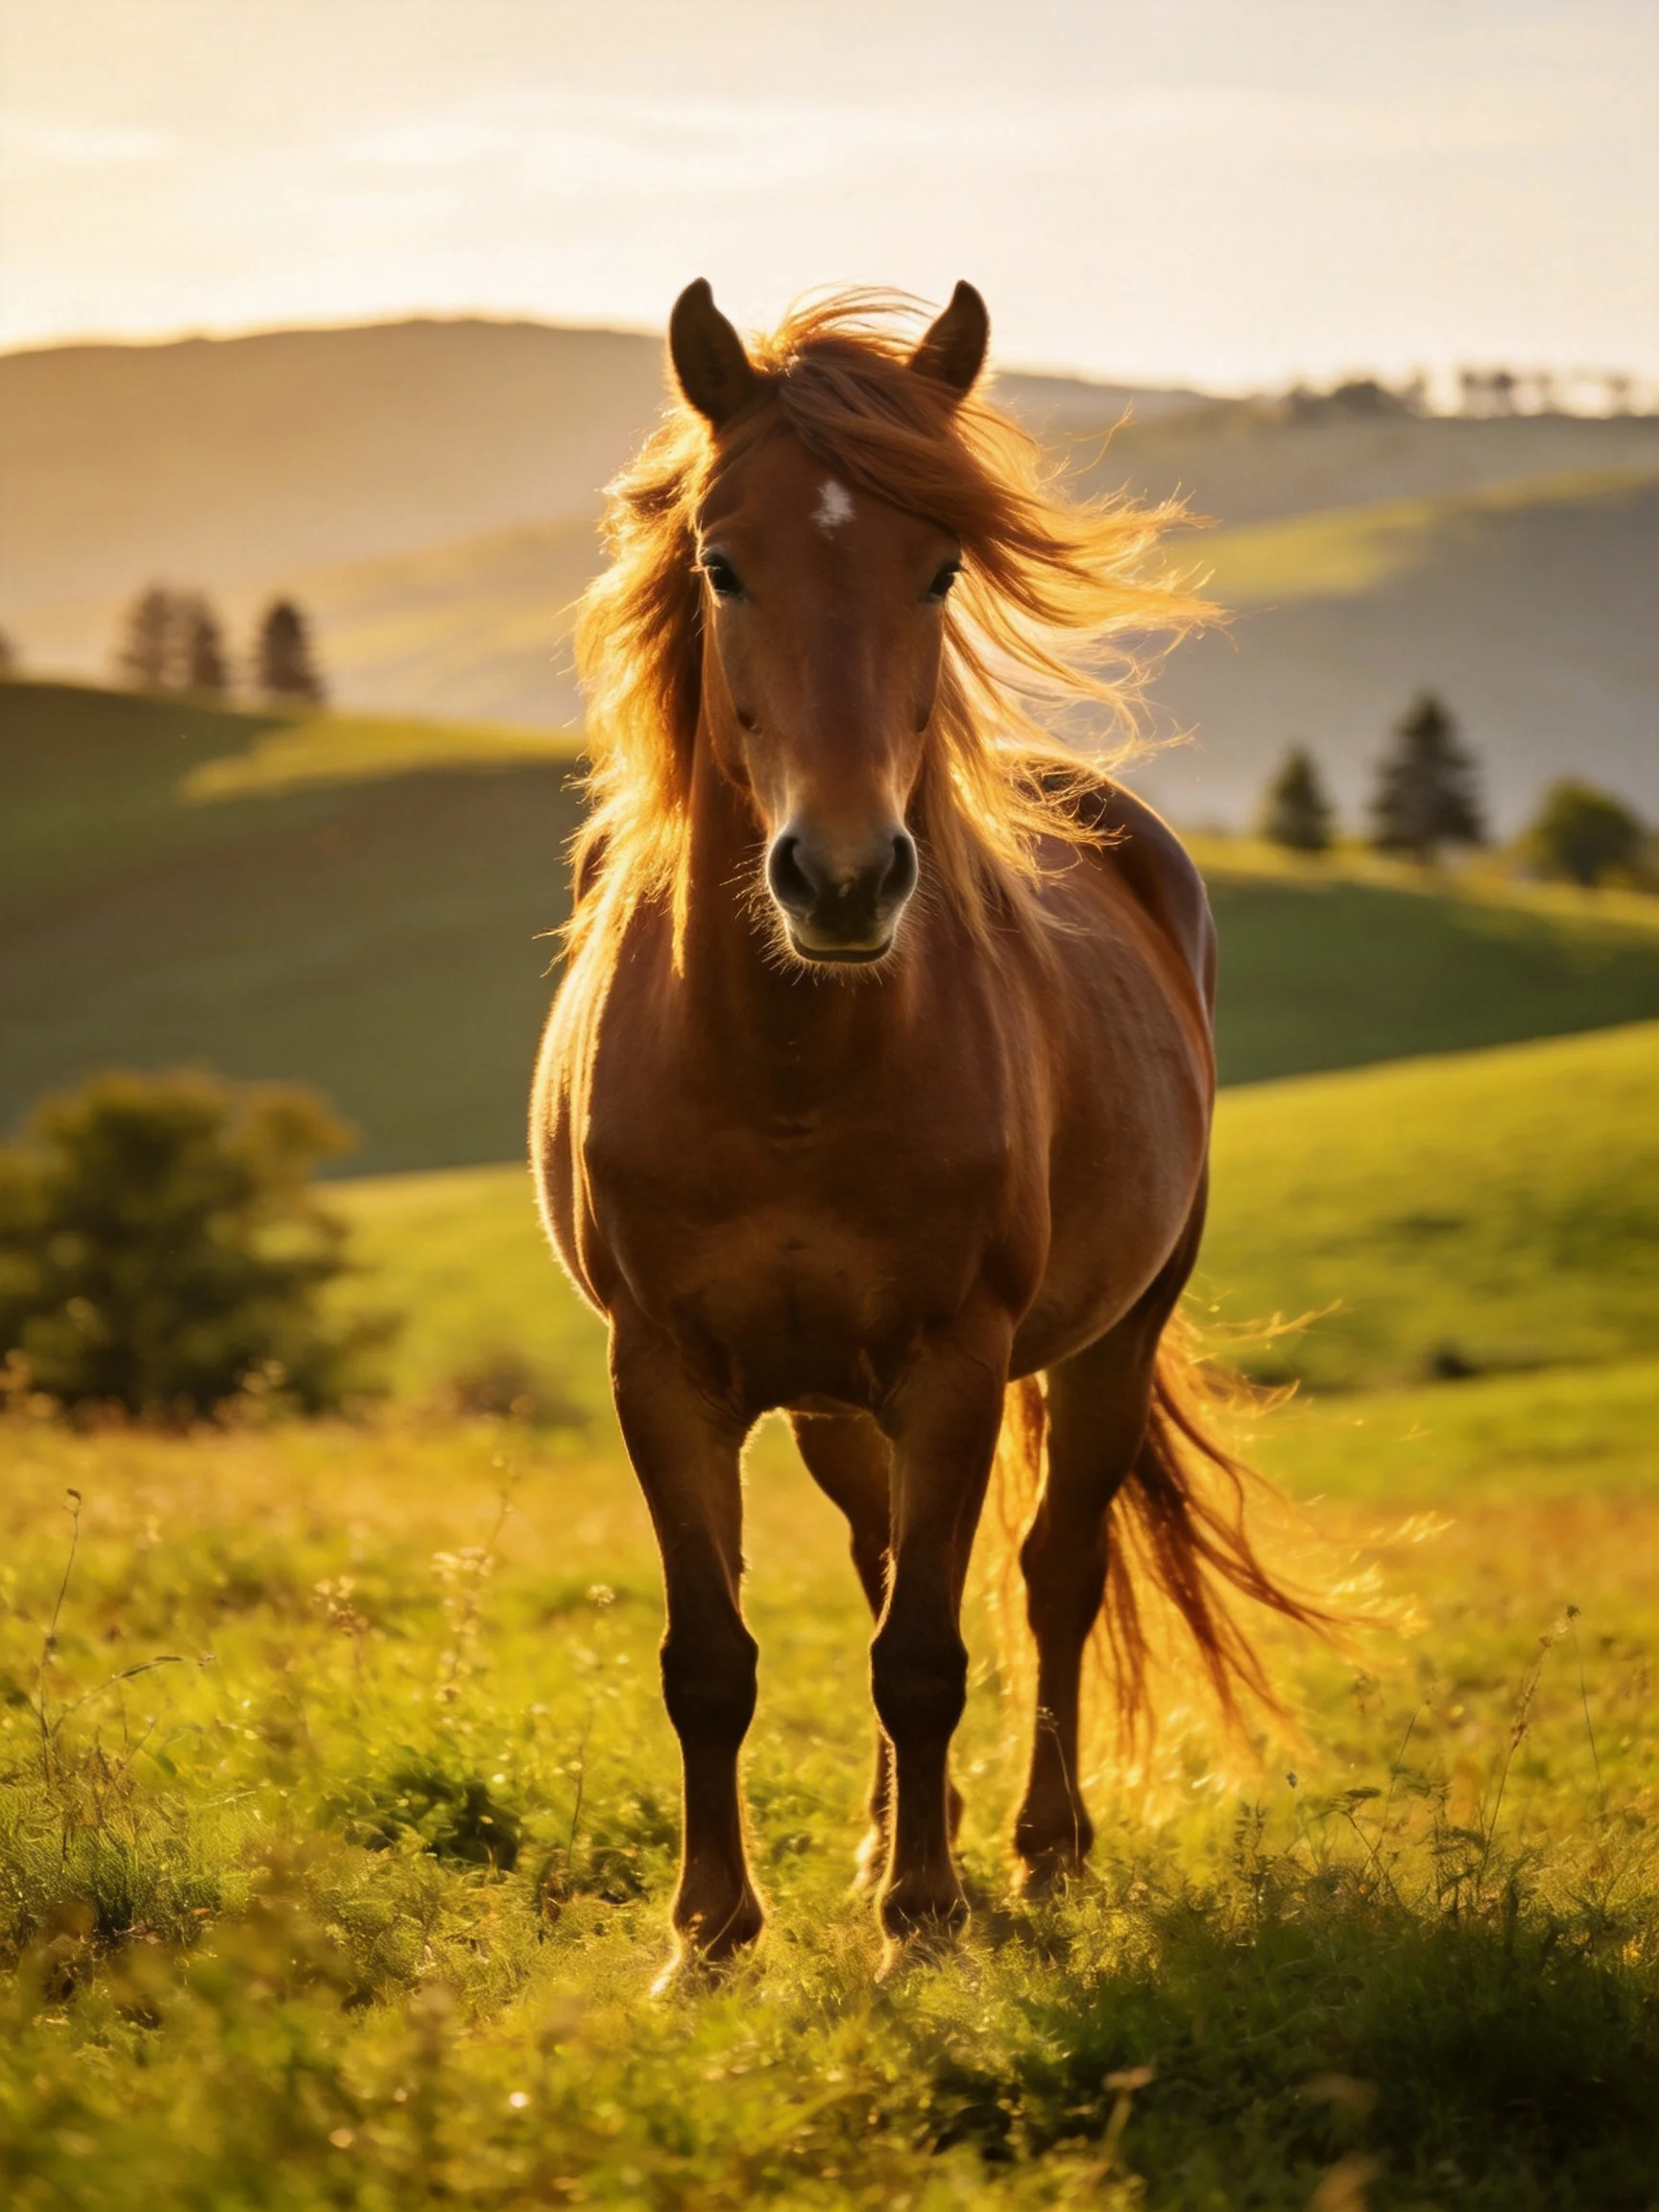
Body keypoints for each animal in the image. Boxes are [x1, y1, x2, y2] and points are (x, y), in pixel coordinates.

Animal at [532, 280, 1334, 1981]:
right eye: (723, 562)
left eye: (941, 566)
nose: (841, 879)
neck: (786, 1068)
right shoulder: (664, 1372)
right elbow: (712, 1656)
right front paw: (711, 1934)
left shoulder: (955, 1365)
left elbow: (927, 1654)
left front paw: (925, 1922)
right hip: (835, 1403)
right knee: (885, 1558)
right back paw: (898, 1836)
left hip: (1108, 1341)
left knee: (1053, 1575)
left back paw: (1036, 1848)